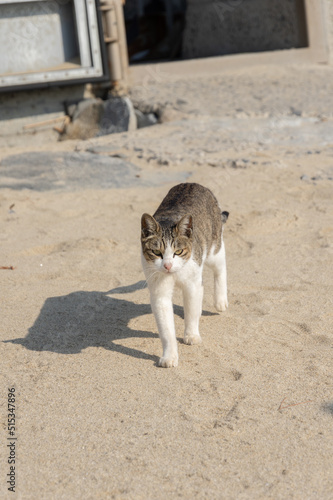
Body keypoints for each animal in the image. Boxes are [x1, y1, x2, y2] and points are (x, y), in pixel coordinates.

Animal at [140, 183, 228, 368]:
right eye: (156, 252)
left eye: (178, 251)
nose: (167, 265)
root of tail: (194, 184)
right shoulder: (159, 293)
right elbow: (166, 329)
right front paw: (169, 356)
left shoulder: (192, 285)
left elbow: (191, 313)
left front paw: (191, 335)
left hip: (212, 249)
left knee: (220, 266)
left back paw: (220, 300)